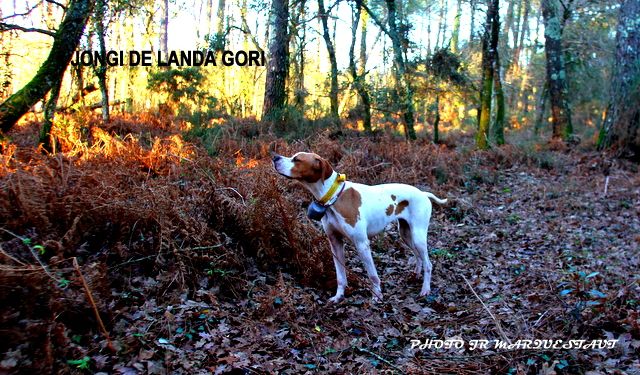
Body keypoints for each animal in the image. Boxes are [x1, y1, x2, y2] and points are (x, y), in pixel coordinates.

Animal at [272, 151, 448, 304]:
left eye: (297, 159)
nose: (275, 157)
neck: (334, 196)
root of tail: (423, 193)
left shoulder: (362, 244)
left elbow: (372, 275)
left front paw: (377, 295)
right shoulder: (335, 243)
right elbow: (340, 276)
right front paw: (338, 296)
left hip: (418, 236)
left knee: (428, 263)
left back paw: (425, 289)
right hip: (406, 234)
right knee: (418, 257)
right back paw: (416, 275)